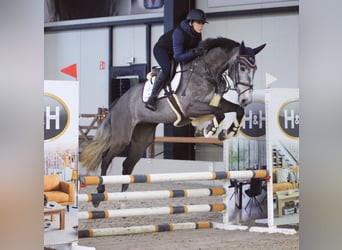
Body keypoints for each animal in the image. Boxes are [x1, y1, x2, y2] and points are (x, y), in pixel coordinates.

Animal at [81, 36, 268, 206]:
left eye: (255, 69)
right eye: (242, 67)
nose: (246, 99)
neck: (206, 71)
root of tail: (117, 103)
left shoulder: (215, 102)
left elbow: (237, 110)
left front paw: (227, 132)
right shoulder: (191, 107)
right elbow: (219, 114)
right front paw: (210, 130)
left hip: (142, 138)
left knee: (127, 165)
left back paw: (123, 200)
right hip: (122, 138)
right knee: (106, 157)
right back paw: (99, 193)